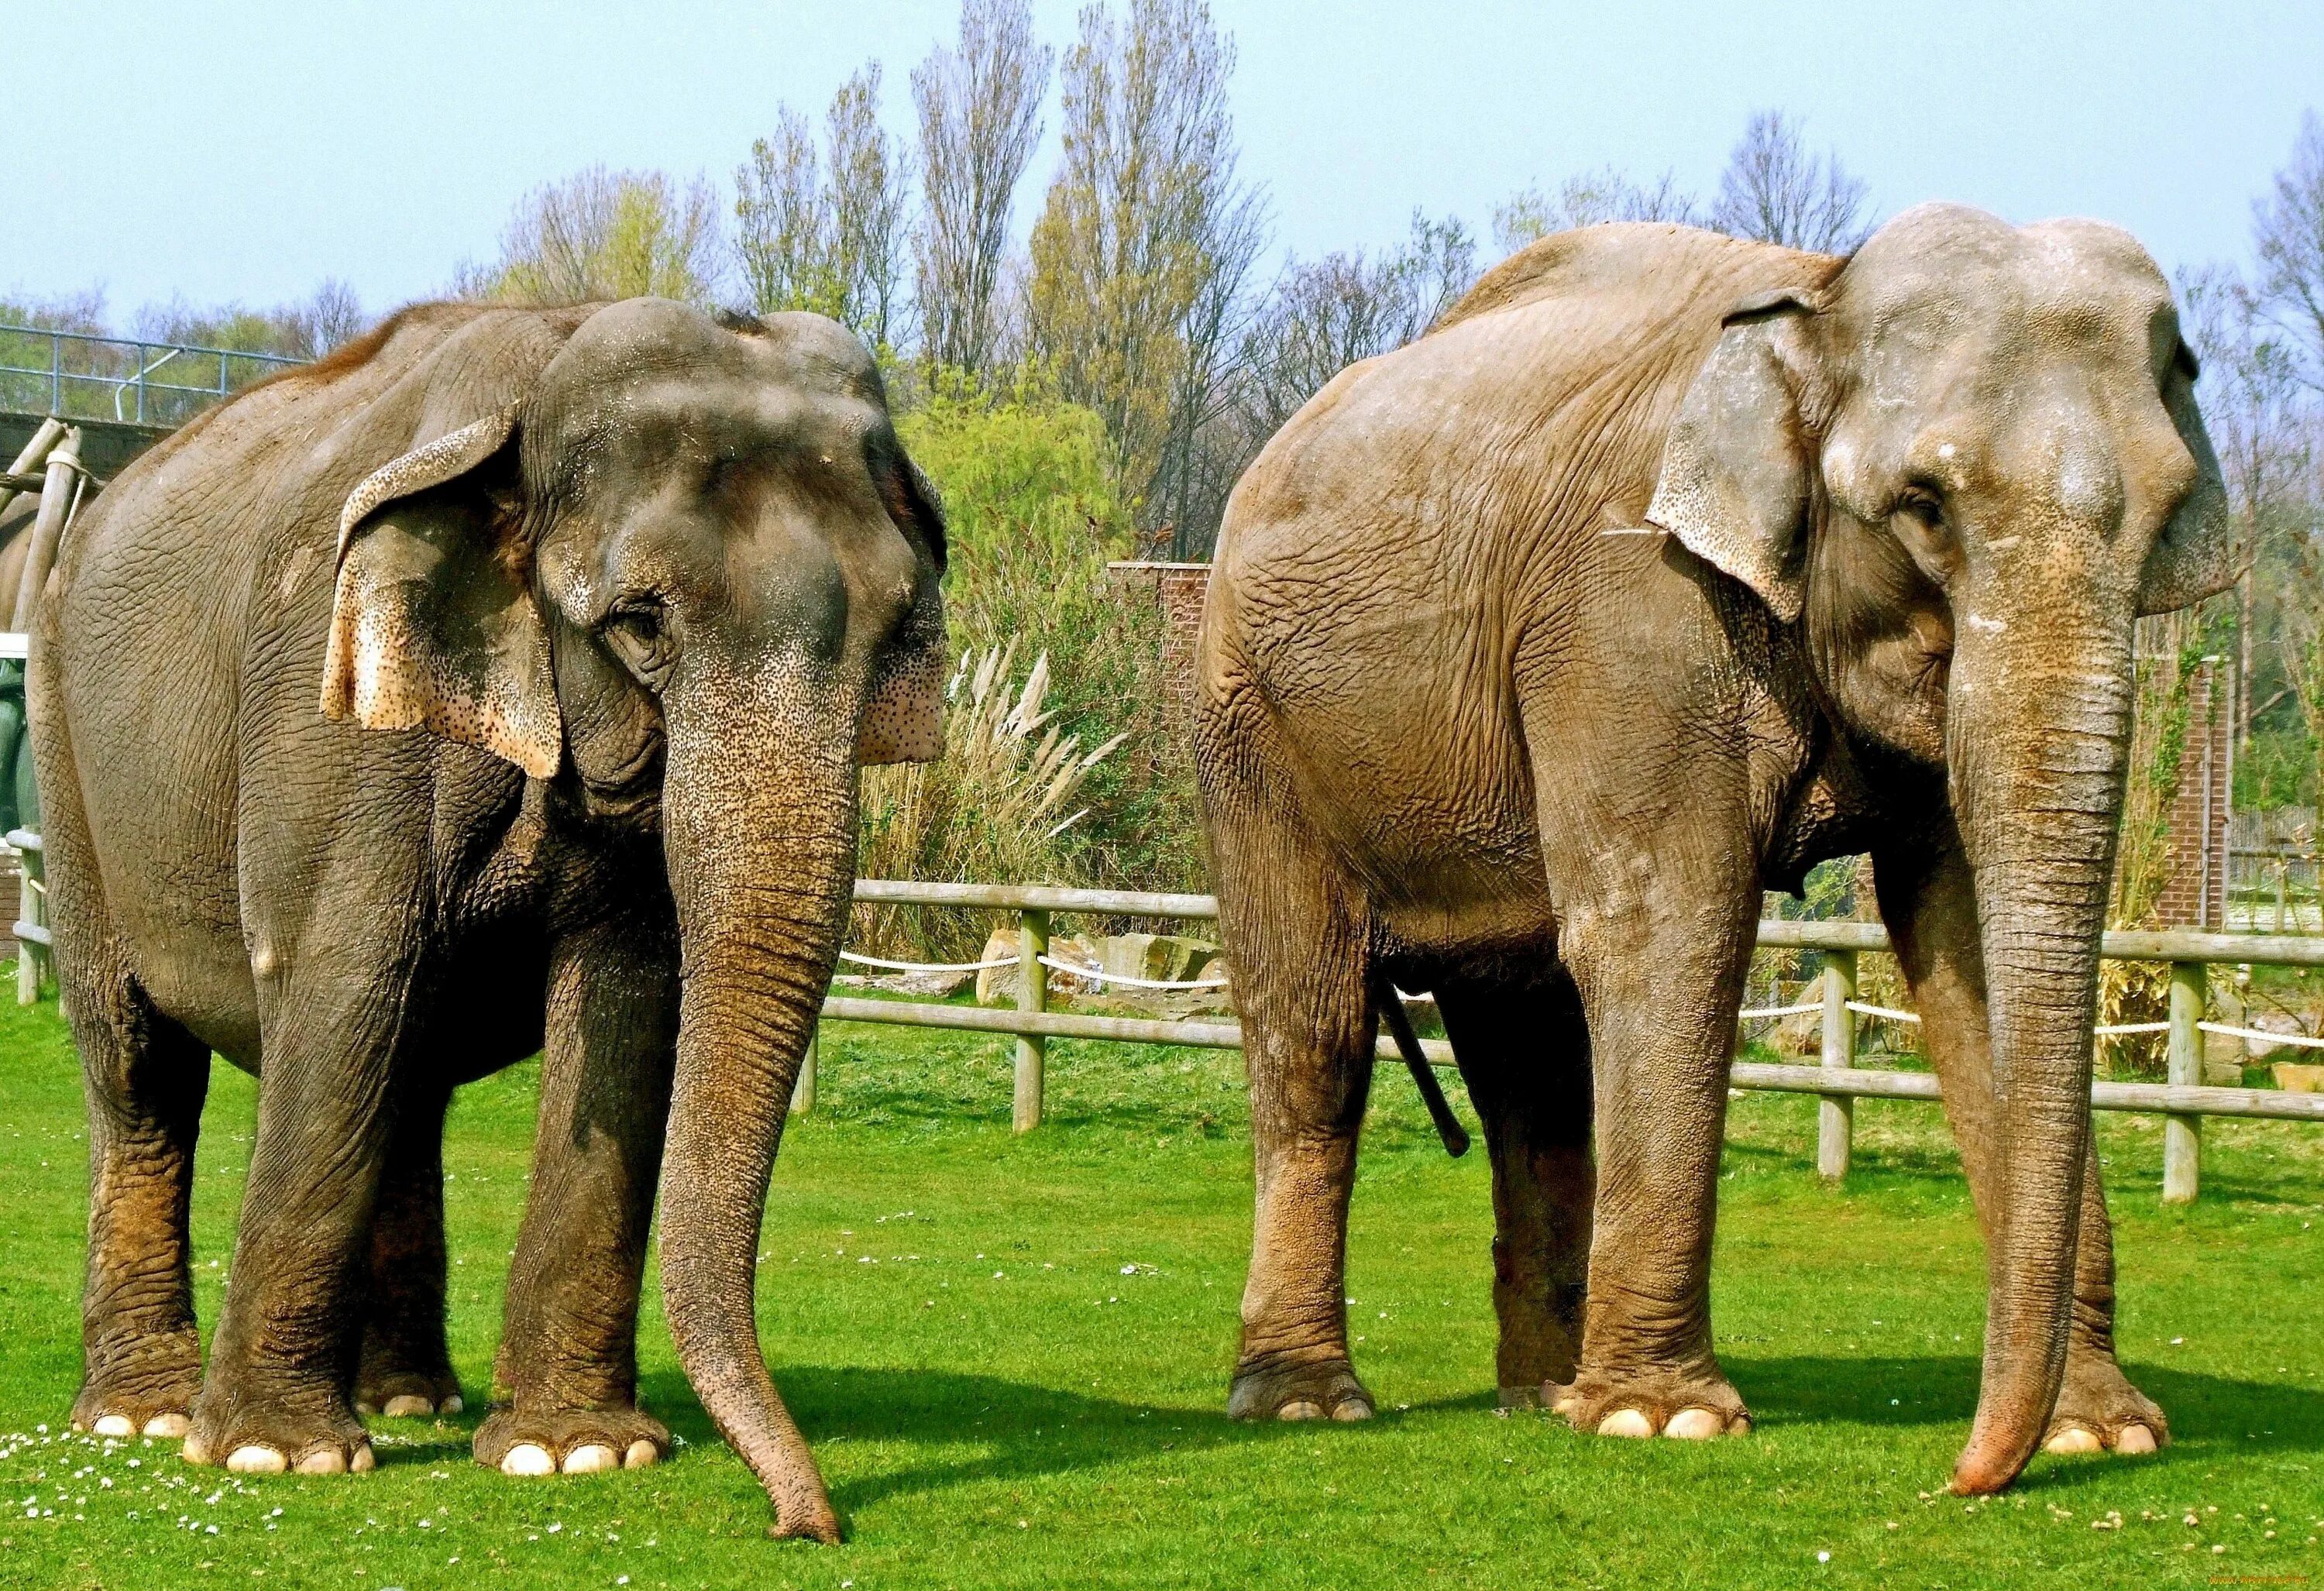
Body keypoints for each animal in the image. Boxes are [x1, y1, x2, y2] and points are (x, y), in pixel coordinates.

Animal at [29, 297, 944, 1542]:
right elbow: (339, 974)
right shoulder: (326, 705)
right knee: (141, 1073)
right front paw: (275, 1456)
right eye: (640, 622)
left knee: (402, 1076)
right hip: (67, 760)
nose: (806, 1525)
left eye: (896, 629)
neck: (542, 373)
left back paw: (412, 1397)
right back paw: (143, 1414)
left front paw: (576, 1452)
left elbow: (622, 1006)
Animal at [1190, 208, 2240, 1486]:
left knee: (1531, 1063)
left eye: (2166, 511)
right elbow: (1672, 927)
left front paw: (2109, 1430)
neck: (1823, 292)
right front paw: (1664, 1420)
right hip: (1251, 735)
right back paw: (1307, 1402)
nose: (1963, 1474)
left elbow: (1969, 956)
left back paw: (1544, 1394)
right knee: (1318, 1033)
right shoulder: (1630, 607)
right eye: (1925, 504)